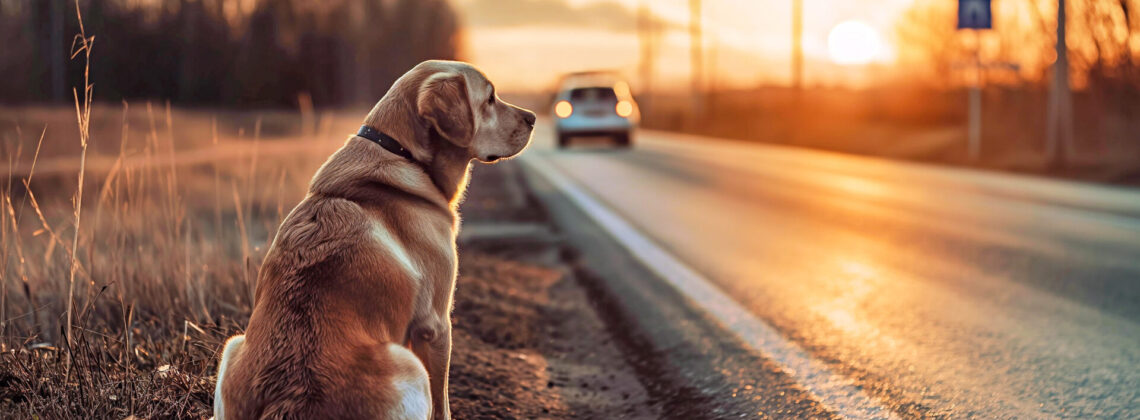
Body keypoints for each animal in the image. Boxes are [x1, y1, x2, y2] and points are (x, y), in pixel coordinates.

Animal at [215, 59, 535, 420]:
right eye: (490, 98)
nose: (534, 118)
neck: (403, 154)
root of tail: (288, 401)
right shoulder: (435, 324)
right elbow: (443, 404)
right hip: (409, 364)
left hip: (233, 346)